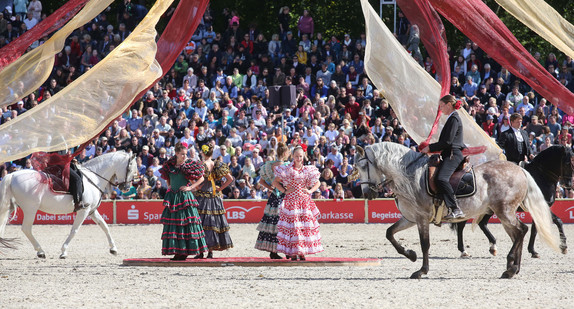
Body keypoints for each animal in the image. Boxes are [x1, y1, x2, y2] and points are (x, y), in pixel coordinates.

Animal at [0, 151, 137, 258]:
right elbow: (74, 230)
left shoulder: (92, 211)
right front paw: (63, 251)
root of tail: (12, 175)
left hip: (11, 207)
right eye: (130, 169)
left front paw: (113, 248)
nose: (126, 188)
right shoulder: (84, 211)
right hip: (30, 209)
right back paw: (41, 251)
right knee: (26, 229)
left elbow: (104, 226)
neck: (93, 178)